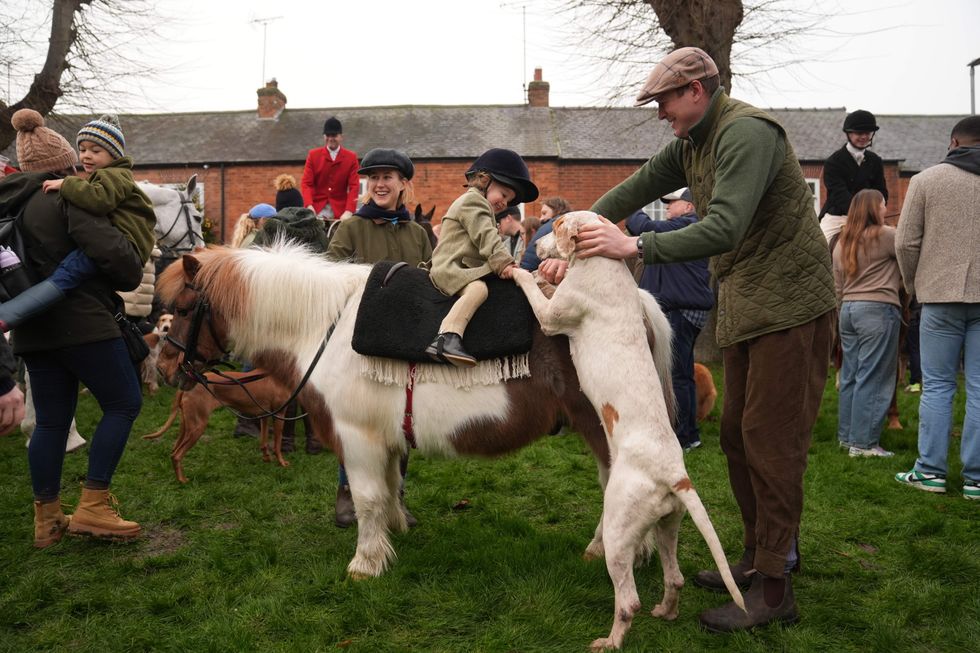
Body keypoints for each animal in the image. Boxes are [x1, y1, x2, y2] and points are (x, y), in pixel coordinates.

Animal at [142, 370, 294, 482]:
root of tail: (186, 385)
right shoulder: (279, 414)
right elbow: (277, 444)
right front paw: (282, 462)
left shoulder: (264, 416)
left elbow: (263, 442)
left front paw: (266, 458)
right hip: (198, 426)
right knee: (177, 455)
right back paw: (182, 481)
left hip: (185, 426)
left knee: (174, 450)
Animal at [510, 213, 748, 648]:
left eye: (556, 223)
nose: (534, 246)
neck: (604, 263)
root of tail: (675, 475)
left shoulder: (552, 317)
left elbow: (536, 291)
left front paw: (522, 270)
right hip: (669, 526)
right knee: (675, 578)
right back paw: (666, 612)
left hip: (619, 534)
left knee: (628, 600)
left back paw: (610, 642)